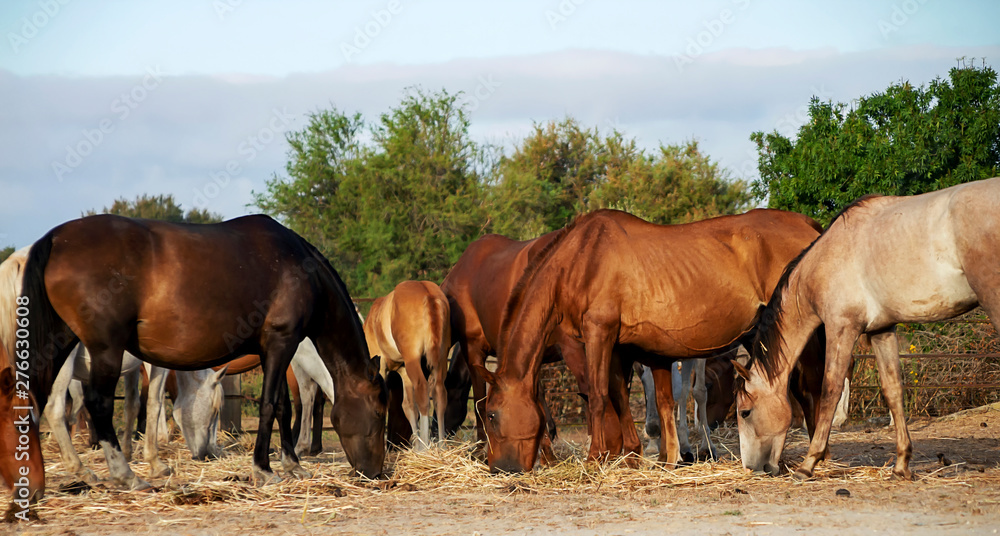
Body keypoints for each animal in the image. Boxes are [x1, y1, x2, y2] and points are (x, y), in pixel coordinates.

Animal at [19, 214, 387, 488]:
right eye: (379, 411)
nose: (374, 472)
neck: (298, 266)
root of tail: (55, 239)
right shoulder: (282, 344)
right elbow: (270, 405)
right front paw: (264, 468)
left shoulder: (272, 349)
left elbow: (282, 406)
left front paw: (292, 464)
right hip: (104, 349)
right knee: (97, 403)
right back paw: (126, 475)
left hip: (60, 343)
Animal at [364, 281, 450, 449]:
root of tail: (428, 294)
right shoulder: (404, 371)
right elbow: (409, 406)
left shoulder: (381, 368)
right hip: (441, 360)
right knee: (439, 394)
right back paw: (441, 446)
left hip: (414, 360)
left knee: (423, 390)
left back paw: (424, 448)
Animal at [479, 208, 825, 473]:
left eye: (492, 415)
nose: (498, 468)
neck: (582, 258)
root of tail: (807, 224)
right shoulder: (622, 347)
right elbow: (625, 396)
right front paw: (635, 456)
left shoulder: (598, 334)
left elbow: (598, 396)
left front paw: (595, 458)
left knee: (810, 386)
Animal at [735, 177, 1000, 480]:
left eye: (745, 412)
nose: (752, 467)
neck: (826, 259)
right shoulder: (881, 330)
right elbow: (892, 389)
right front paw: (901, 465)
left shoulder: (842, 327)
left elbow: (830, 389)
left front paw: (808, 464)